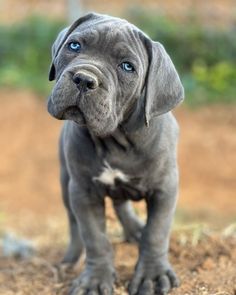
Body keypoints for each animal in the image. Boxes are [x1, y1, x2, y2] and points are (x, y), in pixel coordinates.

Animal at [47, 12, 184, 295]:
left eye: (127, 67)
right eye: (74, 45)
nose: (84, 79)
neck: (115, 138)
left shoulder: (165, 188)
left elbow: (157, 231)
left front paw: (152, 276)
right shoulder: (84, 191)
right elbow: (94, 237)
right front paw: (95, 279)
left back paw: (135, 230)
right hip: (66, 181)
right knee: (75, 224)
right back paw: (71, 259)